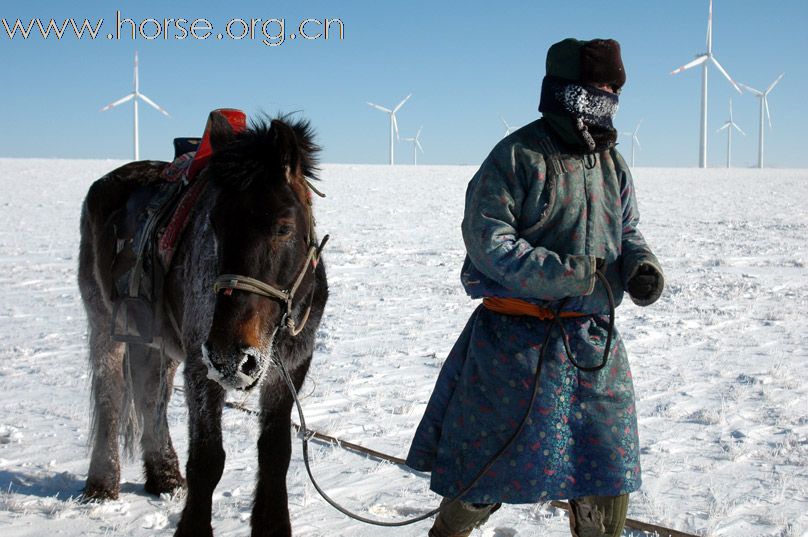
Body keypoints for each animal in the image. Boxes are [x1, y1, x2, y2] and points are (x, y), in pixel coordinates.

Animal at [76, 114, 328, 536]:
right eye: (214, 225)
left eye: (283, 228)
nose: (231, 356)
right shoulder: (201, 366)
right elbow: (208, 459)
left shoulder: (290, 367)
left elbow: (276, 452)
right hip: (103, 323)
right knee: (110, 394)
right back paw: (102, 484)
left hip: (153, 338)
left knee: (150, 395)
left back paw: (164, 476)